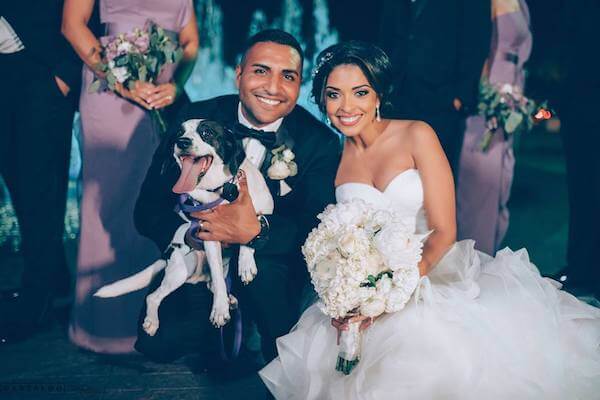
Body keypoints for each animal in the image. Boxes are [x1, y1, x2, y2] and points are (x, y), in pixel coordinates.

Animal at [95, 119, 274, 334]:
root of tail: (167, 254)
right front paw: (219, 310)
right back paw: (152, 321)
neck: (220, 192)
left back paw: (229, 298)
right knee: (155, 296)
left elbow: (254, 225)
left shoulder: (266, 208)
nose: (182, 142)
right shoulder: (210, 236)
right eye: (178, 133)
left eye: (207, 132)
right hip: (183, 267)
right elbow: (218, 280)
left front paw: (246, 264)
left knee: (213, 284)